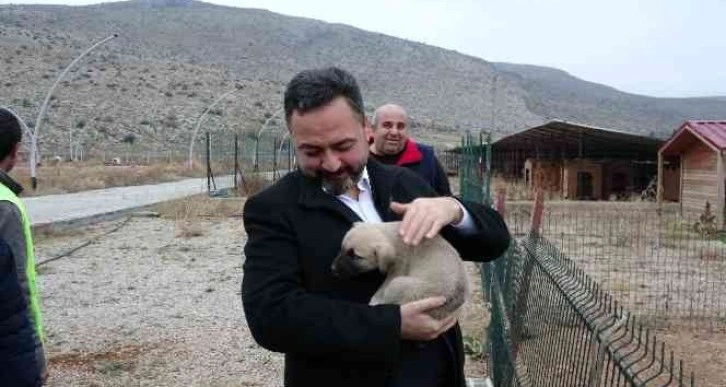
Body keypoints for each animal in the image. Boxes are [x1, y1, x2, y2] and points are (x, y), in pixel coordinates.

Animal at [332, 220, 470, 320]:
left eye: (356, 257)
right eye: (342, 249)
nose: (332, 269)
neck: (393, 236)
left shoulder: (397, 270)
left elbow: (383, 288)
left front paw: (375, 299)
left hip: (399, 284)